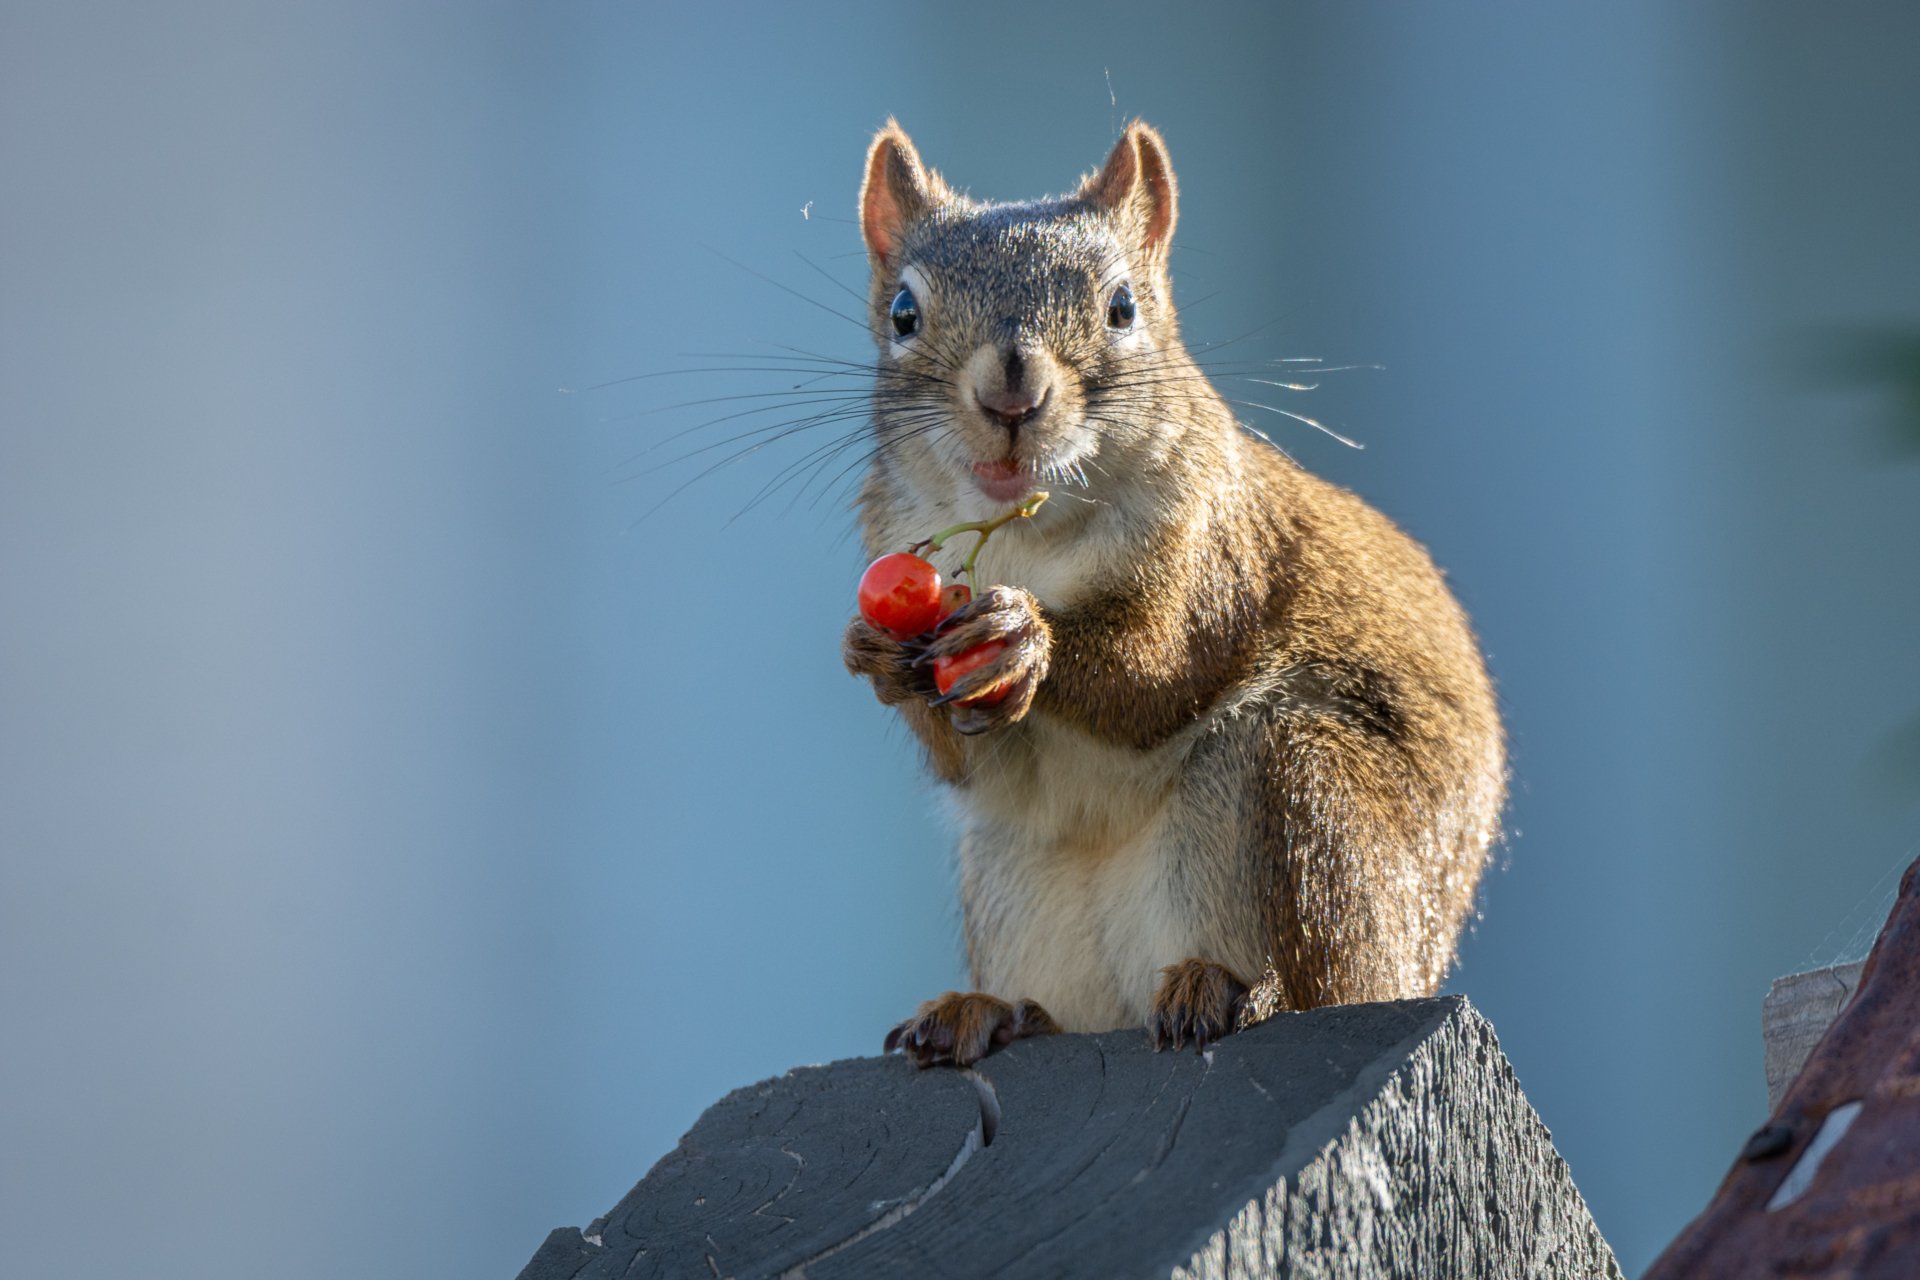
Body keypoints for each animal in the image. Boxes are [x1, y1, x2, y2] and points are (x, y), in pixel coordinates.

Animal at [841, 119, 1505, 1068]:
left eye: (1123, 307)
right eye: (903, 313)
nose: (1011, 392)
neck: (1030, 539)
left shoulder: (1214, 555)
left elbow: (1155, 676)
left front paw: (1026, 641)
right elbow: (966, 761)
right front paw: (872, 653)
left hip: (1313, 800)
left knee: (1326, 979)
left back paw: (1241, 992)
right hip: (1012, 883)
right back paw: (995, 1013)